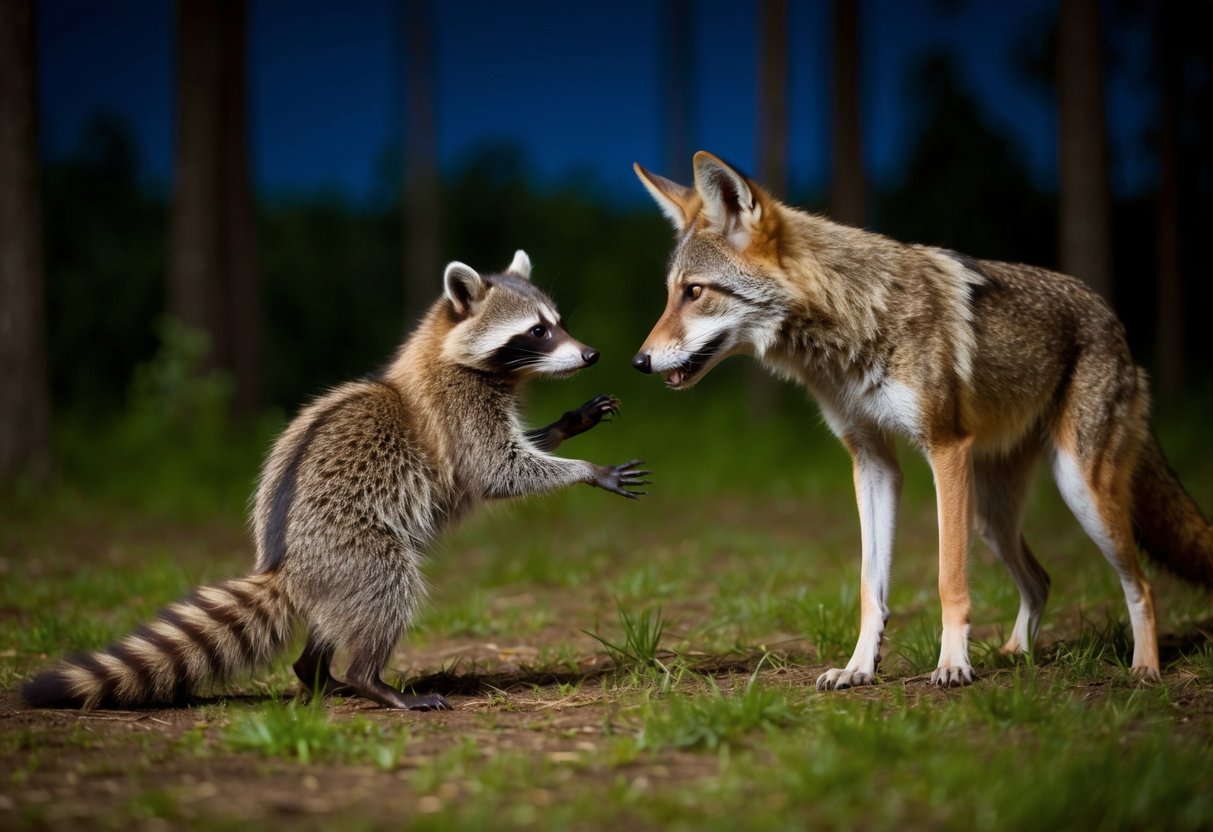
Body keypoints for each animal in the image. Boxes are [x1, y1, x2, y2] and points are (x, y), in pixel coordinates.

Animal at [24, 250, 649, 711]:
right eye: (538, 332)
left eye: (558, 323)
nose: (591, 354)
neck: (451, 352)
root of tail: (282, 563)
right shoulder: (458, 410)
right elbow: (497, 470)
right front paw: (587, 471)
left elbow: (519, 452)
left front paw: (569, 424)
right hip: (351, 543)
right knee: (388, 583)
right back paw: (371, 679)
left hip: (333, 570)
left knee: (343, 610)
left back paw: (319, 671)